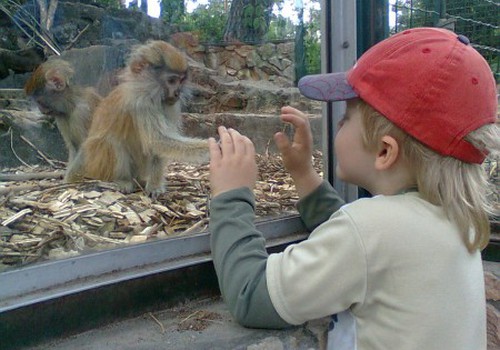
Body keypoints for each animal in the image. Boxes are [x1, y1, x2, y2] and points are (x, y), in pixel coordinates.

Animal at [65, 41, 208, 197]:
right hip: (97, 164)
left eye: (181, 81)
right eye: (171, 81)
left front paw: (154, 186)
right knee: (111, 142)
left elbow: (157, 145)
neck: (143, 87)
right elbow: (156, 140)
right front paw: (212, 147)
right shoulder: (141, 102)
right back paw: (122, 180)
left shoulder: (169, 104)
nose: (177, 93)